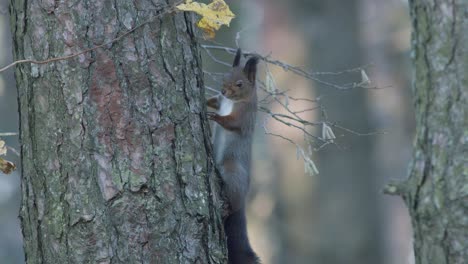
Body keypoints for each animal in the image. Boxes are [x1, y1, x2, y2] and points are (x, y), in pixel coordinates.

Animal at [207, 48, 262, 262]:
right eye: (225, 75)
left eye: (240, 84)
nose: (224, 91)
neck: (232, 101)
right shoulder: (221, 100)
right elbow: (214, 101)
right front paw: (206, 100)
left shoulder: (243, 116)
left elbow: (231, 123)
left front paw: (216, 117)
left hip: (231, 171)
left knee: (233, 201)